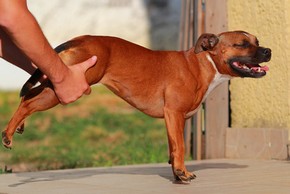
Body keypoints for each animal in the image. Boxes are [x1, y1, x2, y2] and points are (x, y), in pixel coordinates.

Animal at [1, 30, 270, 183]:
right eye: (242, 44)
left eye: (257, 41)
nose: (268, 50)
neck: (201, 63)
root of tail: (80, 39)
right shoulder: (174, 114)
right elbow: (181, 148)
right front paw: (183, 173)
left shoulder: (174, 120)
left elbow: (173, 148)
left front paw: (176, 174)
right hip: (64, 87)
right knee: (28, 101)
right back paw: (9, 133)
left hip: (54, 83)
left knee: (28, 95)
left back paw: (18, 126)